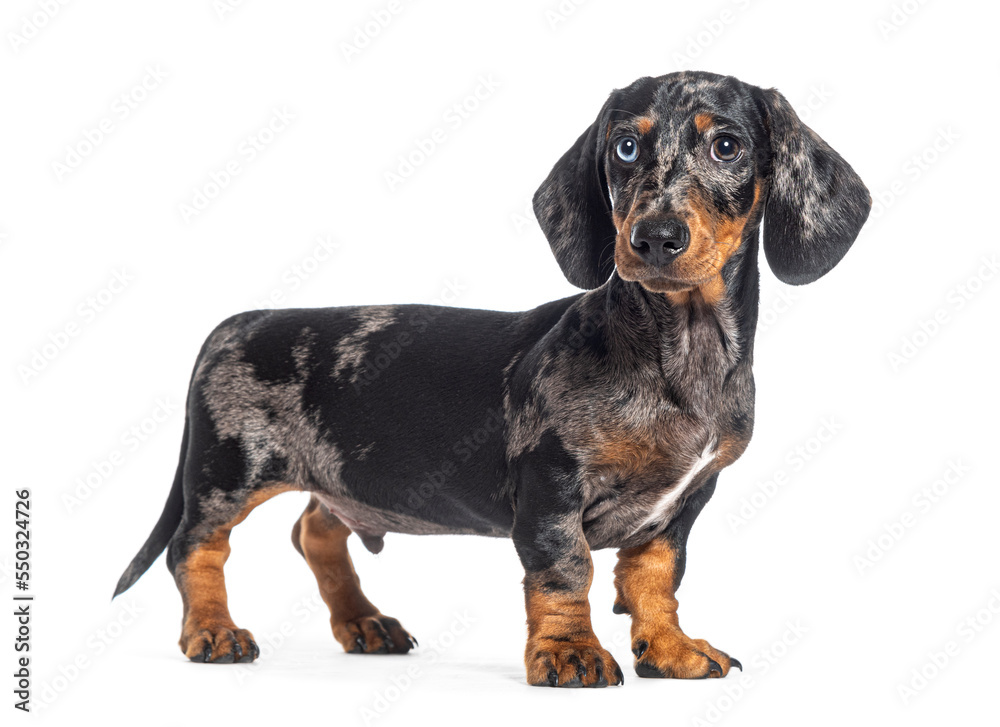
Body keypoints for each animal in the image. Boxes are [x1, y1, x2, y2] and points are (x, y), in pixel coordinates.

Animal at [115, 72, 868, 688]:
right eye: (625, 147)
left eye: (727, 146)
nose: (654, 238)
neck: (677, 350)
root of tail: (241, 320)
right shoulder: (551, 484)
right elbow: (566, 571)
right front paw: (569, 653)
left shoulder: (685, 502)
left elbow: (655, 579)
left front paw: (670, 648)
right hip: (226, 471)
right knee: (195, 548)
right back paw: (213, 631)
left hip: (342, 474)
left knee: (316, 531)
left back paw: (363, 622)